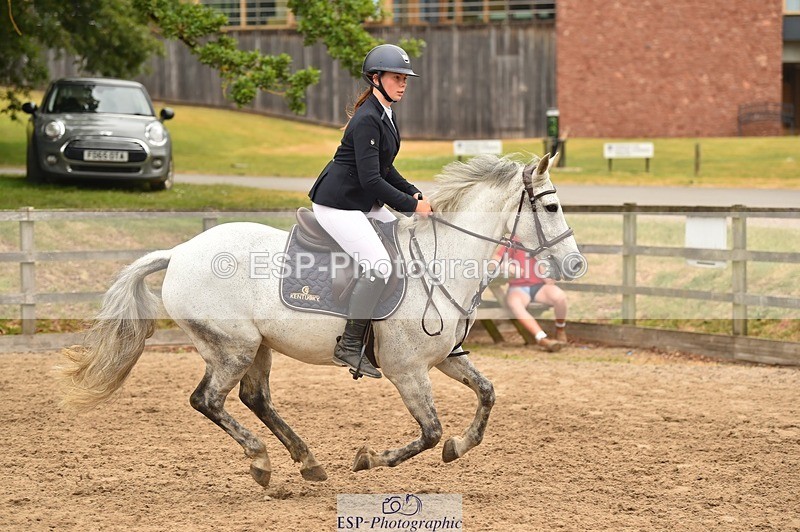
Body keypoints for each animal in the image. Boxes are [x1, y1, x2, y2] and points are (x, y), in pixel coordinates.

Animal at [60, 152, 583, 487]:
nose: (575, 265)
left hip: (259, 347)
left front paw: (460, 445)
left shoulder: (444, 359)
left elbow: (487, 394)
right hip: (231, 348)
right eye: (551, 206)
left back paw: (307, 461)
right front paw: (370, 458)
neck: (441, 259)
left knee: (255, 398)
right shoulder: (408, 371)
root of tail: (181, 251)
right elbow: (430, 431)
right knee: (207, 400)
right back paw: (262, 463)